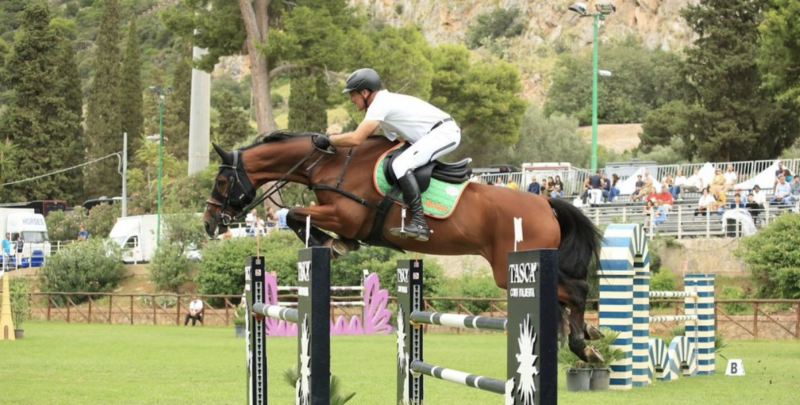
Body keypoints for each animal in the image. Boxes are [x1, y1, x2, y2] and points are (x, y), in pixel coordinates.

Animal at [203, 131, 604, 362]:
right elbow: (303, 218)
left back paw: (583, 345)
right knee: (567, 296)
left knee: (577, 290)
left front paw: (328, 243)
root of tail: (547, 203)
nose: (209, 223)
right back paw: (589, 337)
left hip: (515, 268)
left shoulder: (345, 215)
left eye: (222, 181)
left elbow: (294, 214)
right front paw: (333, 245)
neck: (333, 164)